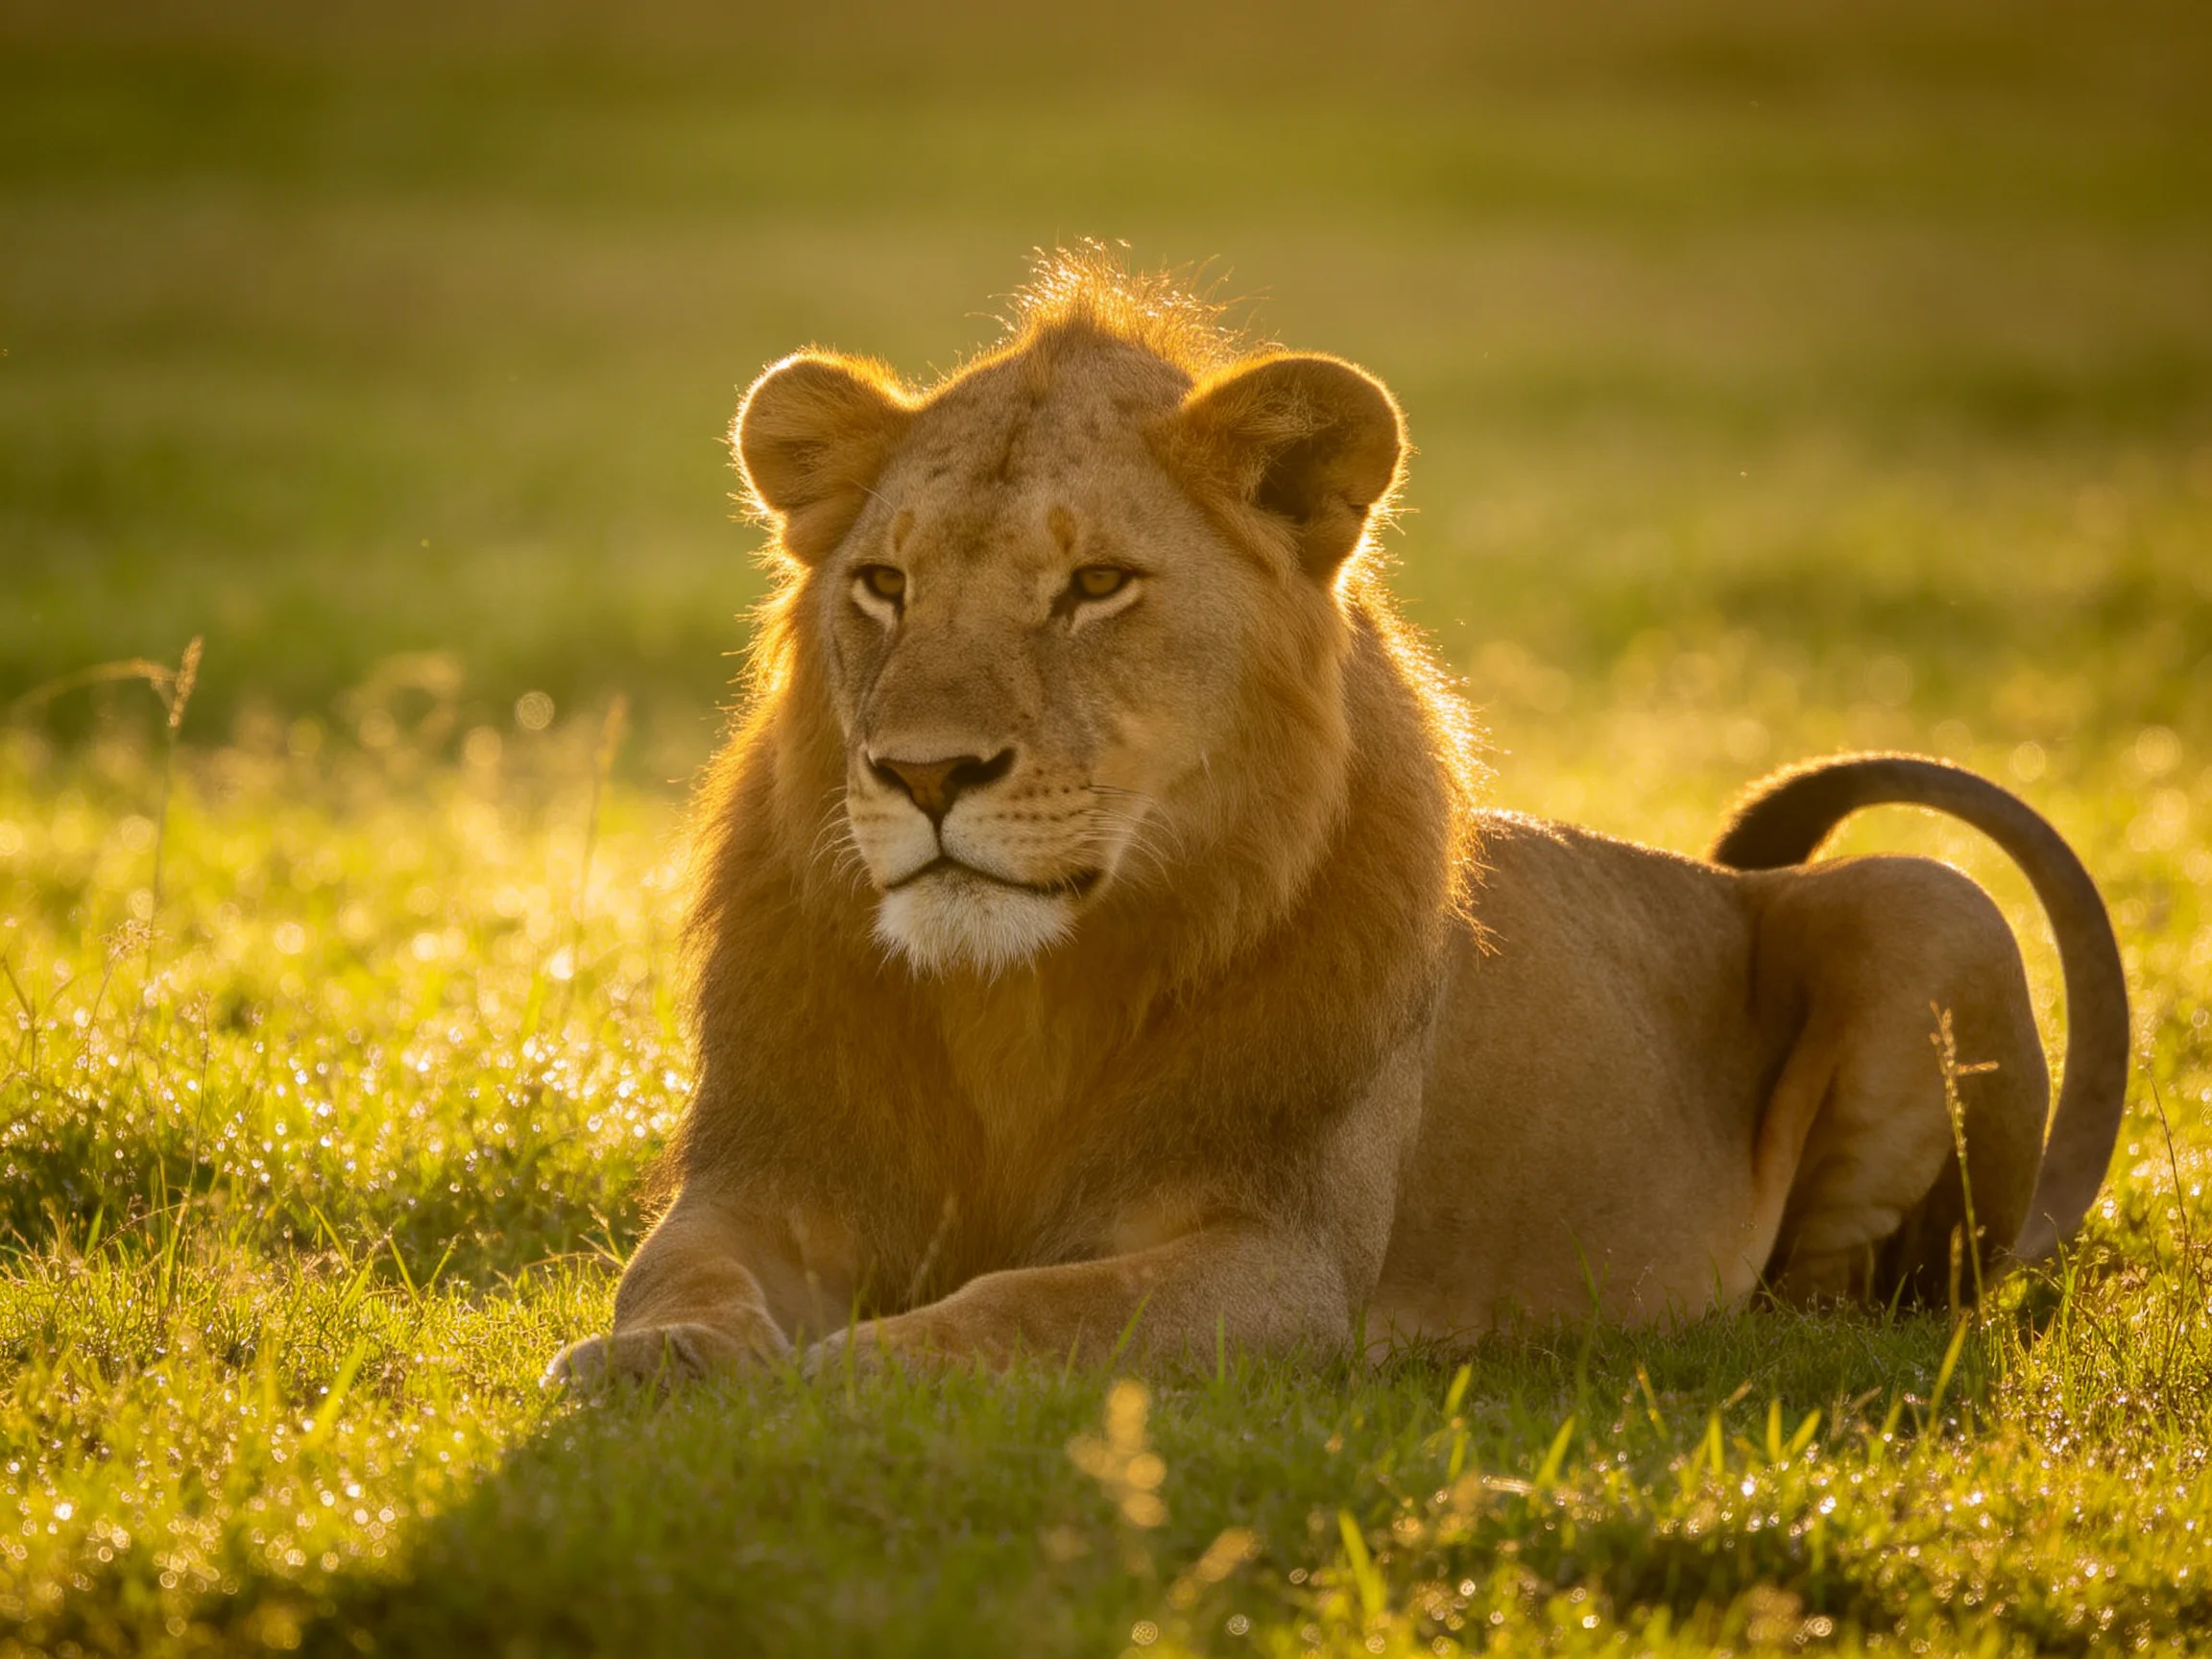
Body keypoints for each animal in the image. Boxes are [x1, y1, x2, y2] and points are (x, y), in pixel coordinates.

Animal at [549, 250, 2127, 1385]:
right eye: (885, 584)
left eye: (1097, 586)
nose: (926, 774)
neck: (1020, 997)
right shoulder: (768, 1177)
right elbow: (677, 1274)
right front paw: (655, 1364)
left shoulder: (1277, 1262)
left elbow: (1022, 1309)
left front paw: (851, 1367)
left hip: (1921, 902)